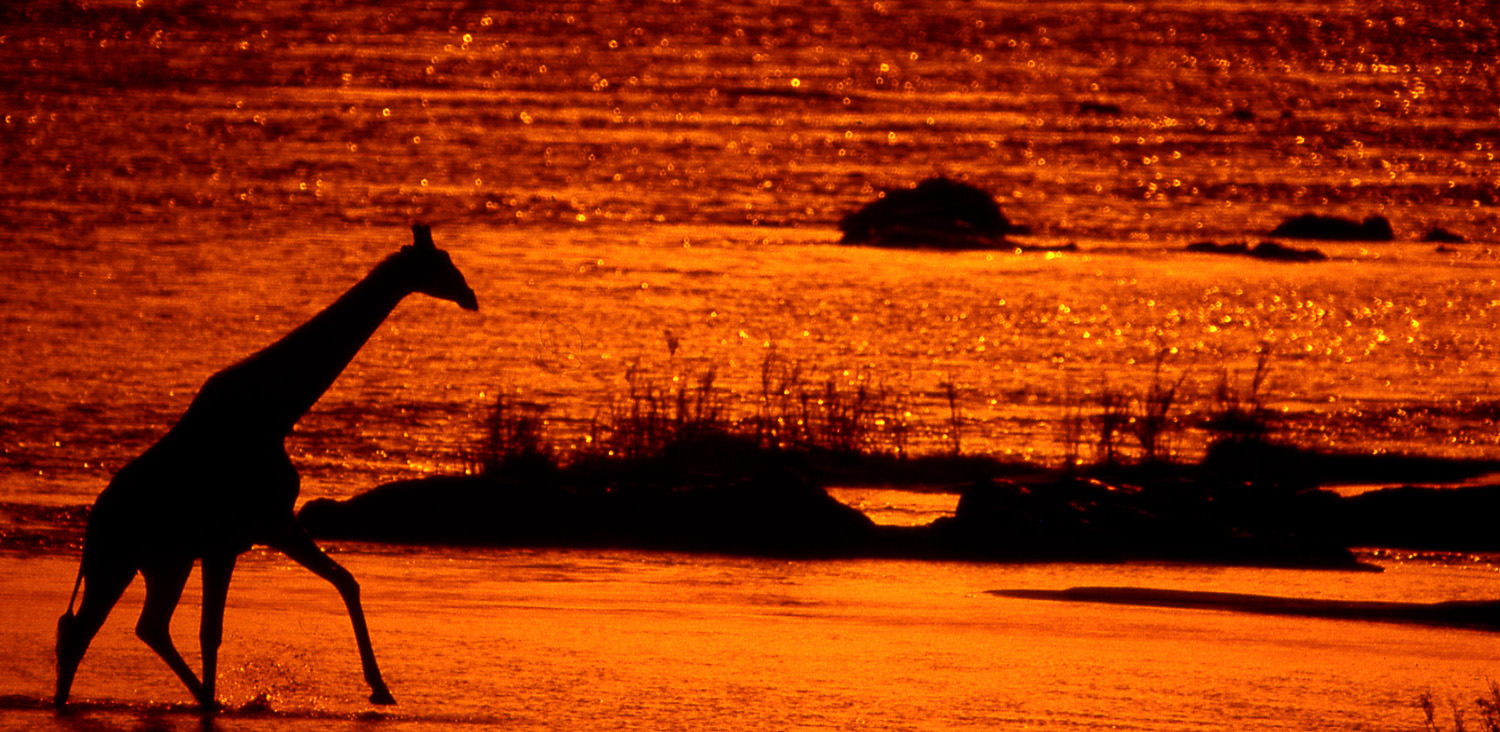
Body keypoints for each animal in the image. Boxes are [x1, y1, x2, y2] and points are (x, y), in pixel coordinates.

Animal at [54, 224, 478, 709]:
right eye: (440, 264)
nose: (470, 296)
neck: (277, 412)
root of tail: (92, 523)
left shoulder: (266, 526)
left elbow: (346, 581)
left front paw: (380, 688)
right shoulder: (238, 535)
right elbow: (211, 631)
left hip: (162, 562)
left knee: (145, 625)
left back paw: (202, 697)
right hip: (117, 560)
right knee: (83, 629)